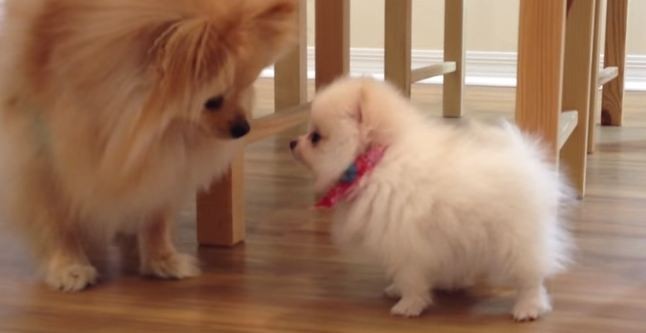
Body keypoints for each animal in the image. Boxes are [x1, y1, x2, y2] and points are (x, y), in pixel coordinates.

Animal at [0, 0, 298, 290]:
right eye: (212, 101)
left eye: (247, 85)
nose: (244, 128)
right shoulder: (42, 149)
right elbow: (55, 217)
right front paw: (69, 266)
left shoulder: (158, 155)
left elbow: (156, 212)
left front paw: (162, 259)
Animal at [292, 77, 576, 320]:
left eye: (316, 137)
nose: (292, 142)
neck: (376, 161)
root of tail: (526, 159)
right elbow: (402, 274)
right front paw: (396, 290)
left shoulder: (405, 243)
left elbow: (410, 278)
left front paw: (408, 305)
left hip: (516, 241)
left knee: (531, 278)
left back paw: (529, 307)